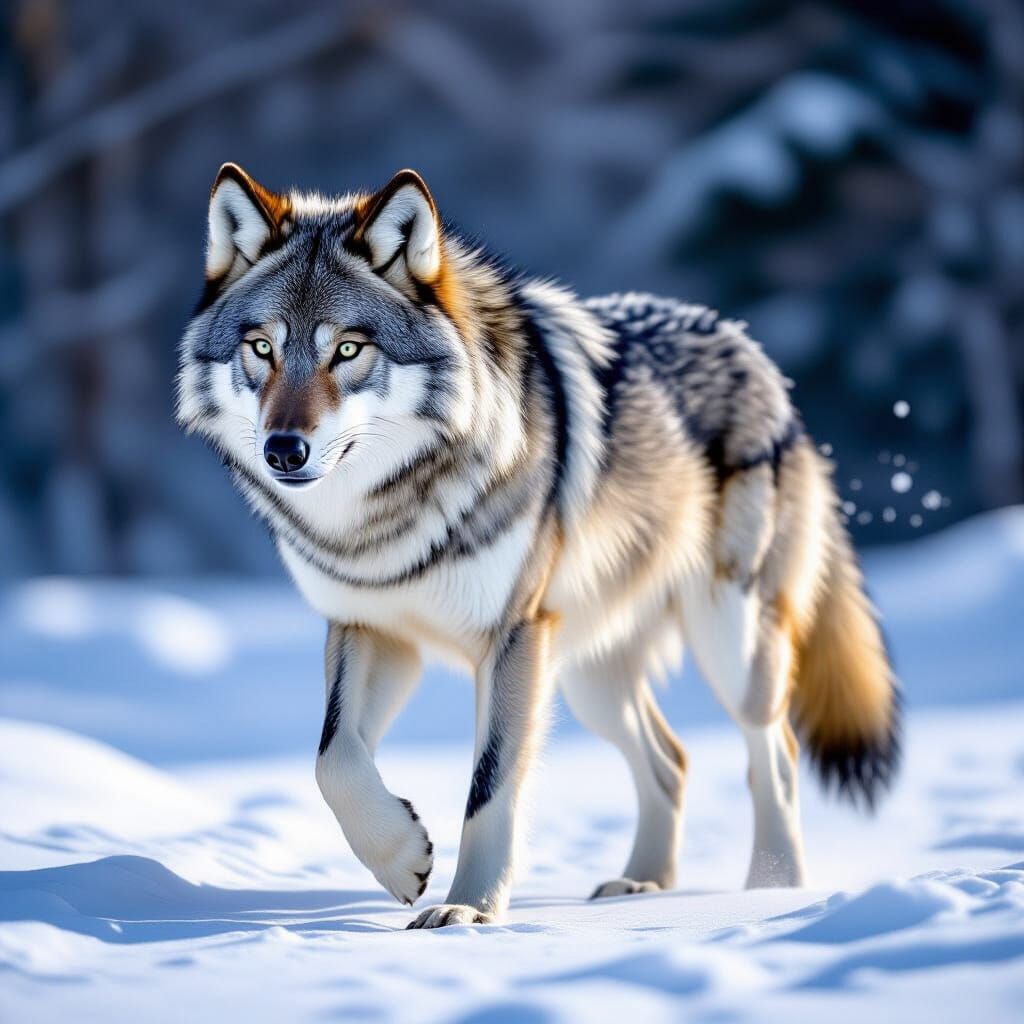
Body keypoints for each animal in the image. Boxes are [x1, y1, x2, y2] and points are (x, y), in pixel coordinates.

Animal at [176, 164, 900, 929]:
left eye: (347, 349)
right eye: (263, 348)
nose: (284, 450)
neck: (384, 518)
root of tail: (753, 352)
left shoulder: (513, 637)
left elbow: (489, 787)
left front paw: (467, 911)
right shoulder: (371, 629)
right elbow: (332, 759)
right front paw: (402, 858)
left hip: (729, 644)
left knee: (776, 753)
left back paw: (774, 890)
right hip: (588, 675)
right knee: (672, 761)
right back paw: (643, 883)